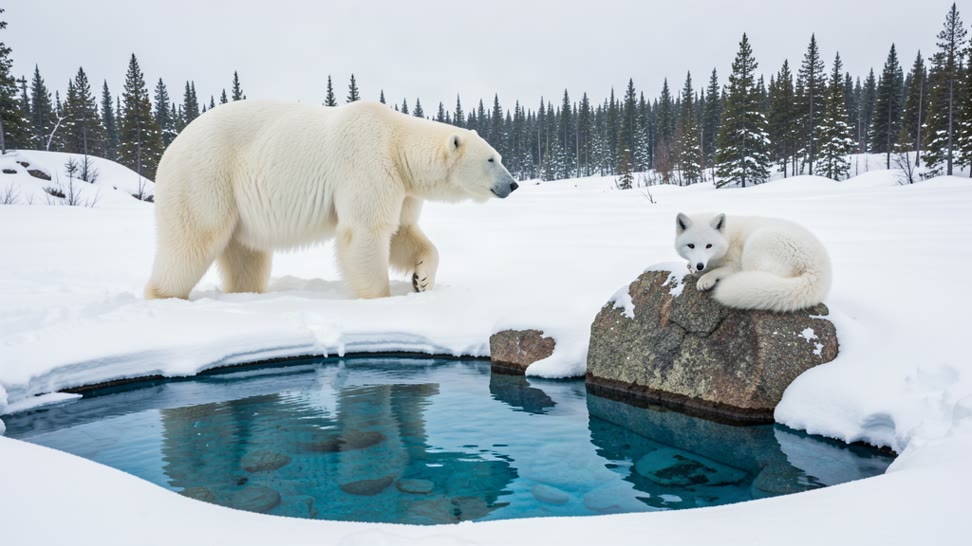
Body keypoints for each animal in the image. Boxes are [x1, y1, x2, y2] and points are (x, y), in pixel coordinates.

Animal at [144, 100, 518, 300]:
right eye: (491, 159)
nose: (513, 184)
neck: (395, 142)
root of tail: (172, 147)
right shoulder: (369, 165)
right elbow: (366, 231)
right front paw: (379, 297)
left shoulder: (402, 187)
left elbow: (403, 231)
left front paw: (421, 279)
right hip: (205, 176)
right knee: (193, 239)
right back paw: (164, 294)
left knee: (247, 254)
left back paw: (247, 292)